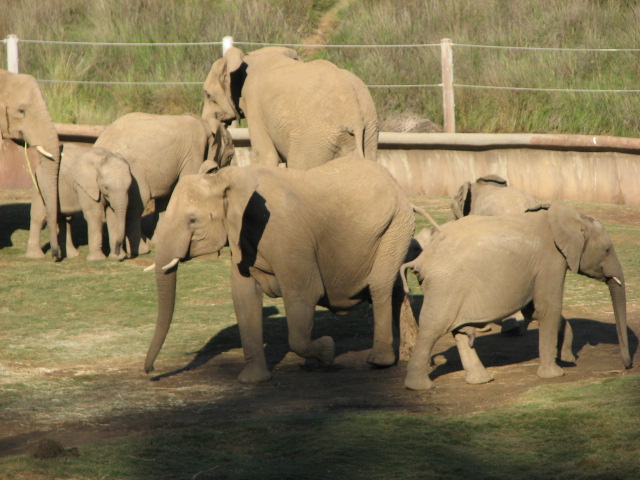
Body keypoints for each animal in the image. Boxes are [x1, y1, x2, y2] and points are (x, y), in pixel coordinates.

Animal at [93, 112, 234, 257]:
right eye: (230, 156)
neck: (204, 122)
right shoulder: (194, 152)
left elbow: (166, 199)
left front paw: (160, 241)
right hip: (133, 172)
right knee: (137, 205)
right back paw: (143, 250)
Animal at [144, 156, 419, 384]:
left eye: (192, 220)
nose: (151, 372)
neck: (229, 179)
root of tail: (394, 182)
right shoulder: (242, 239)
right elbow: (244, 297)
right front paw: (252, 381)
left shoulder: (286, 235)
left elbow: (305, 293)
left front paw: (327, 350)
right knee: (395, 287)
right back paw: (408, 351)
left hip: (395, 225)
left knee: (379, 286)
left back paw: (379, 361)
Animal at [202, 46, 379, 169]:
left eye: (208, 95)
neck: (247, 56)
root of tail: (354, 115)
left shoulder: (253, 104)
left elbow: (266, 157)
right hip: (369, 131)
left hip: (314, 138)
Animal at [403, 203, 631, 390]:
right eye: (607, 250)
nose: (627, 367)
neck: (569, 217)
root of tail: (421, 260)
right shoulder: (550, 261)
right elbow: (548, 308)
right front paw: (554, 374)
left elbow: (535, 311)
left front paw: (567, 357)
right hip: (445, 285)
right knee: (433, 328)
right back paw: (420, 386)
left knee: (458, 330)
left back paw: (482, 380)